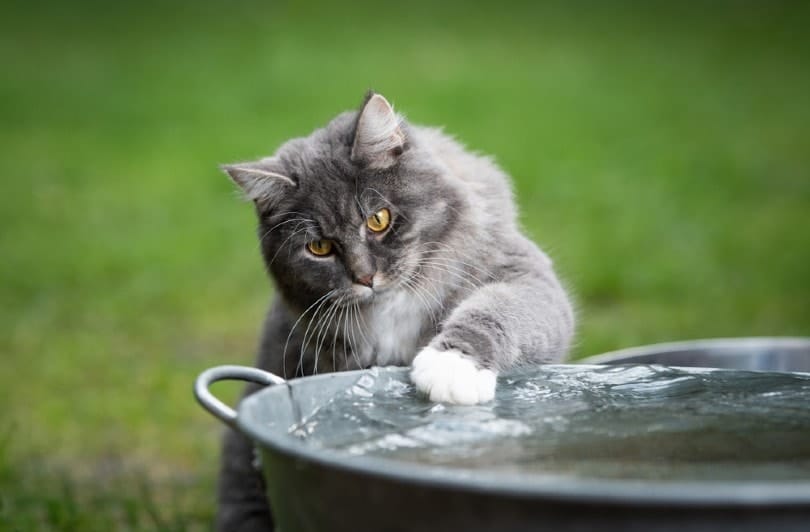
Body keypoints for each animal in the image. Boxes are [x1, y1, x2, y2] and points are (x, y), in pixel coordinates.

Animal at [215, 91, 572, 528]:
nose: (365, 277)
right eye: (319, 247)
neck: (392, 306)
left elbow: (496, 310)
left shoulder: (522, 274)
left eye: (378, 220)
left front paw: (451, 368)